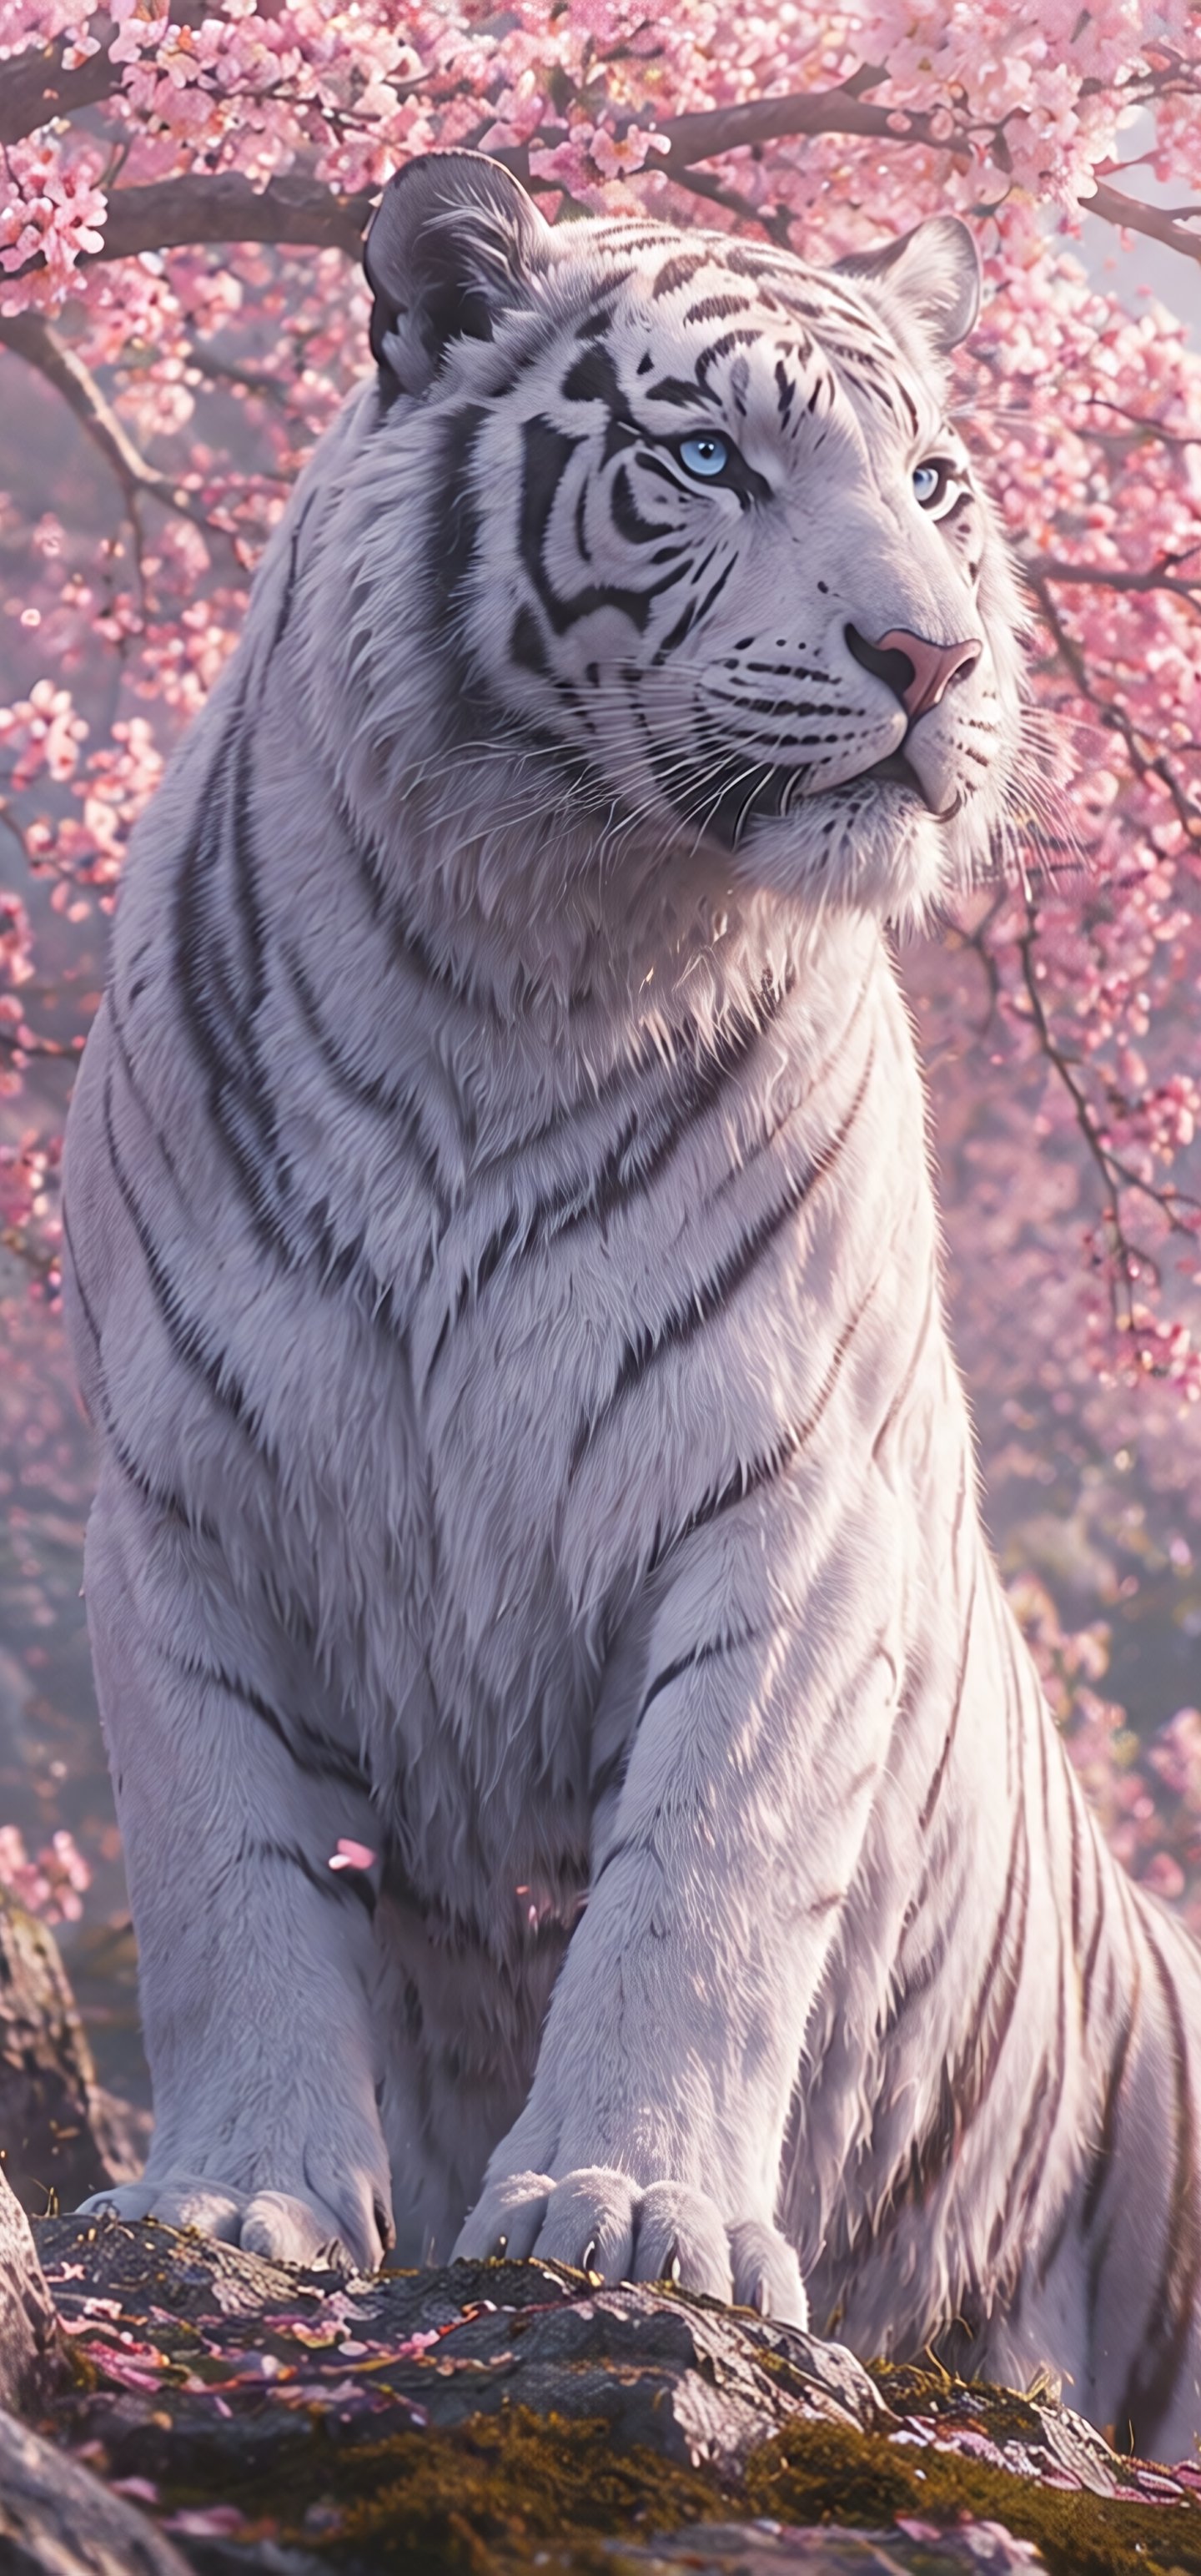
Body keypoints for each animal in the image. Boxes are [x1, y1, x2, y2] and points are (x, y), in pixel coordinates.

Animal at [61, 148, 1201, 2460]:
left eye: (933, 479)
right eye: (703, 461)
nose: (933, 655)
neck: (522, 952)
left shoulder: (789, 1508)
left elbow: (705, 1881)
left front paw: (627, 2215)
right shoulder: (175, 1505)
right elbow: (226, 1874)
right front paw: (234, 2199)